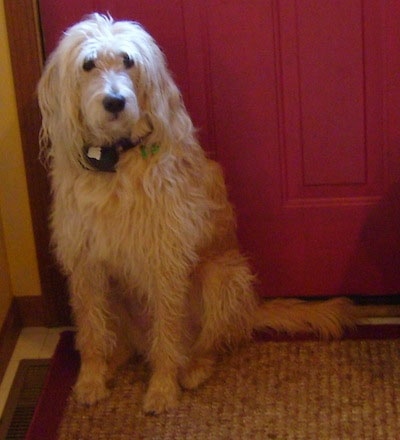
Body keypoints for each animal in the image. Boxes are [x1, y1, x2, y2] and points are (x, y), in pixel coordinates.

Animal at [38, 12, 360, 412]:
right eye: (88, 64)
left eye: (128, 60)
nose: (115, 101)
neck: (116, 163)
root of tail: (250, 310)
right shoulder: (84, 265)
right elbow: (92, 331)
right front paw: (91, 379)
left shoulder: (164, 263)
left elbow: (168, 333)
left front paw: (162, 388)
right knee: (124, 343)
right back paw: (116, 362)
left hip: (223, 278)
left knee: (206, 343)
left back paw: (193, 369)